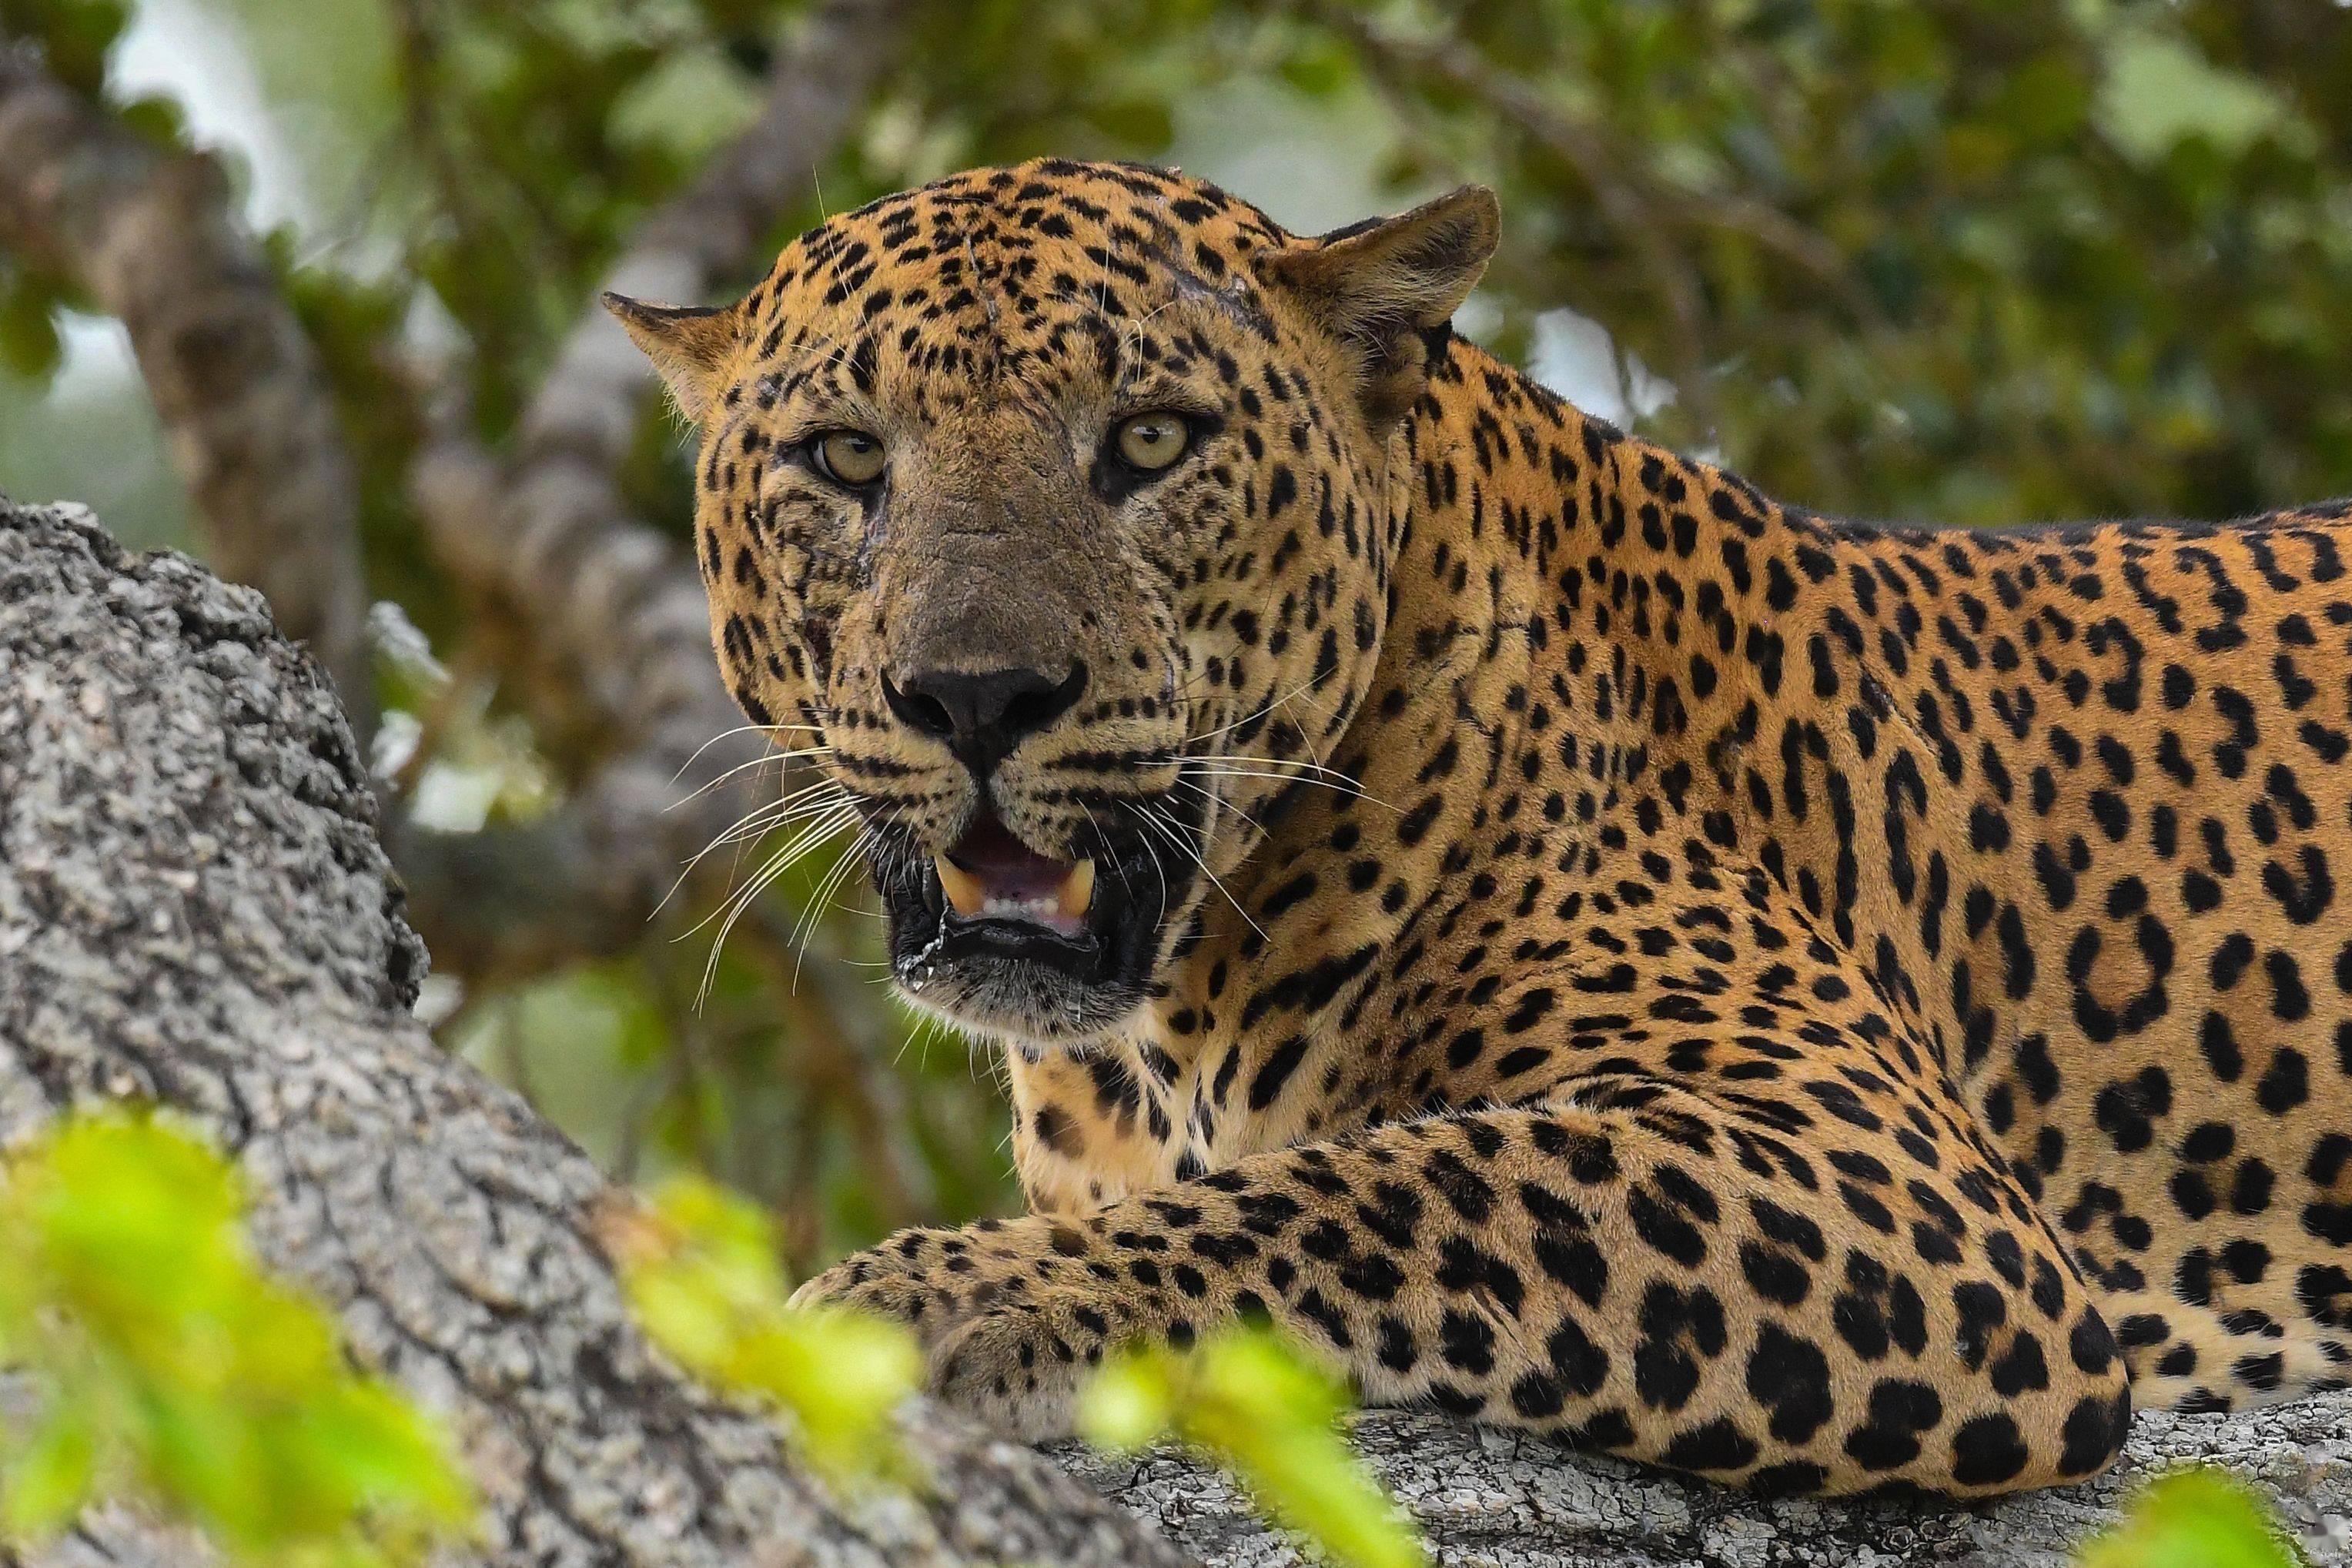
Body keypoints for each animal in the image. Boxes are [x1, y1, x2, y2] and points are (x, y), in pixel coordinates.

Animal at [611, 159, 2352, 1495]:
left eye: (1152, 440)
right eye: (846, 457)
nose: (976, 698)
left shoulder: (1893, 1174)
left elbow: (1403, 1177)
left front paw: (943, 1288)